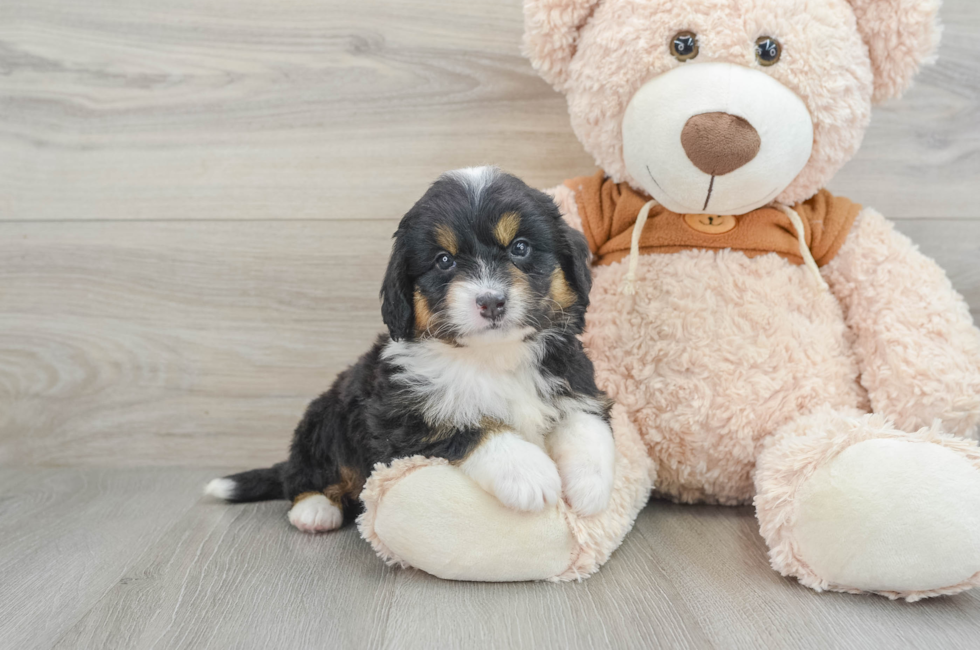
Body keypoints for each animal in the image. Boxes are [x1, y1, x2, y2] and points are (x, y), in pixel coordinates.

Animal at [206, 167, 612, 532]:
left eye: (520, 248)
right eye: (444, 260)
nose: (491, 302)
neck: (493, 356)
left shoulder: (574, 378)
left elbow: (586, 423)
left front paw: (592, 485)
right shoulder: (401, 419)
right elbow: (470, 425)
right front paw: (527, 472)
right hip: (325, 419)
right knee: (304, 474)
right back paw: (315, 509)